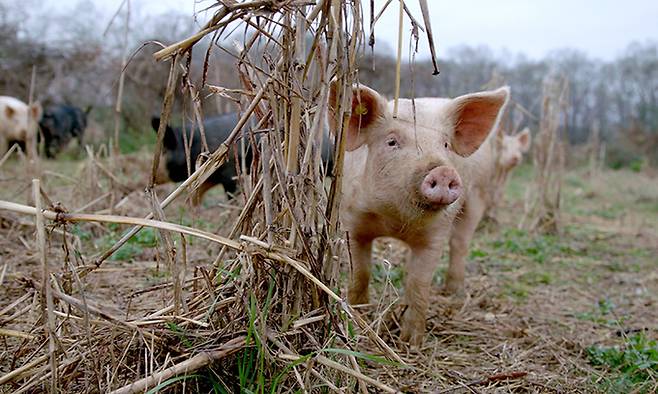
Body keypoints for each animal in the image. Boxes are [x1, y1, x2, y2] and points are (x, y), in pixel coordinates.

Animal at [153, 112, 336, 205]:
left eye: (165, 150)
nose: (153, 176)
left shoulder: (230, 172)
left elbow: (230, 195)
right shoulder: (211, 175)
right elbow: (197, 192)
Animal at [328, 81, 508, 344]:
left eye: (445, 145)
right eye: (392, 142)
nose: (443, 171)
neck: (394, 221)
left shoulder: (436, 234)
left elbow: (418, 284)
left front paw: (411, 342)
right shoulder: (351, 221)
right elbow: (360, 273)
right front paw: (359, 318)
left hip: (478, 196)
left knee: (460, 244)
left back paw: (453, 291)